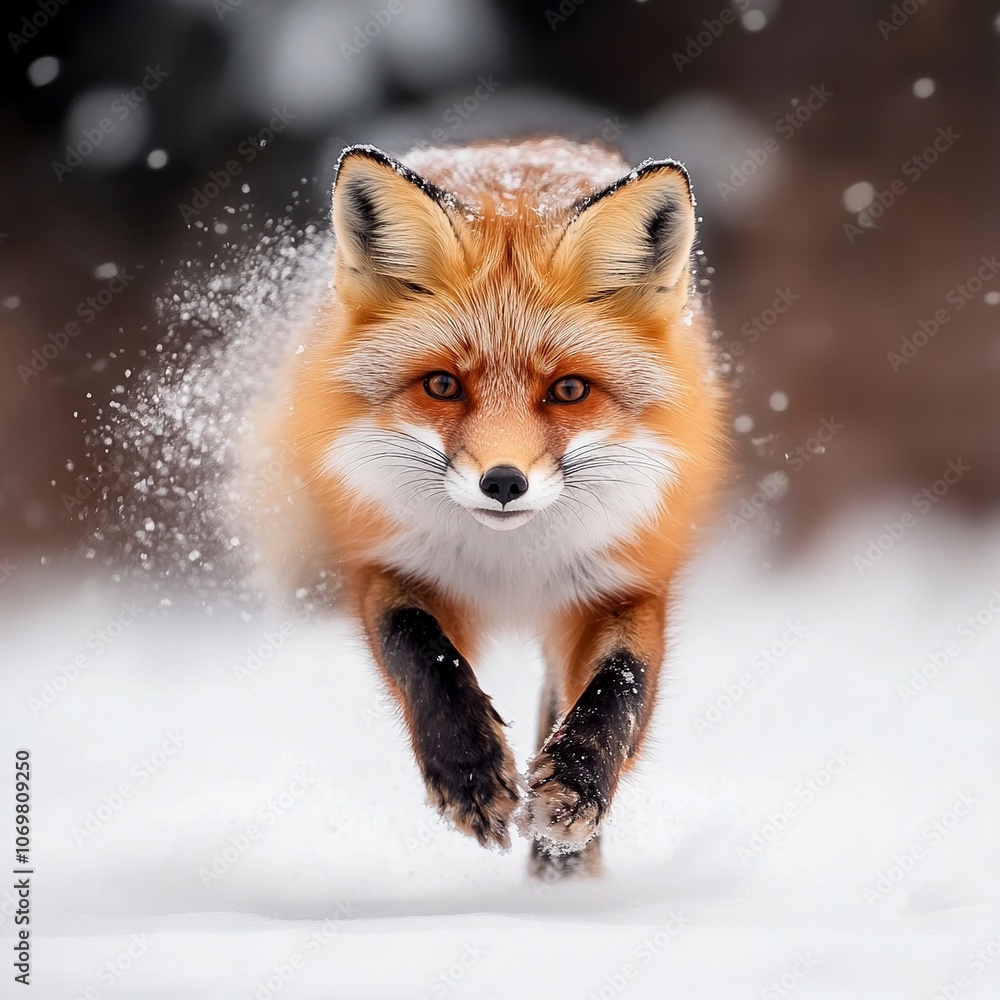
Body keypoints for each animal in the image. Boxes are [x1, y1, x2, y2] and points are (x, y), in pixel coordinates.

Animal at [249, 137, 727, 880]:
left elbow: (620, 688)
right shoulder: (386, 564)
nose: (504, 482)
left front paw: (575, 788)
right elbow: (422, 652)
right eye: (442, 386)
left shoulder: (625, 583)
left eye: (569, 390)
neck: (511, 563)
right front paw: (468, 772)